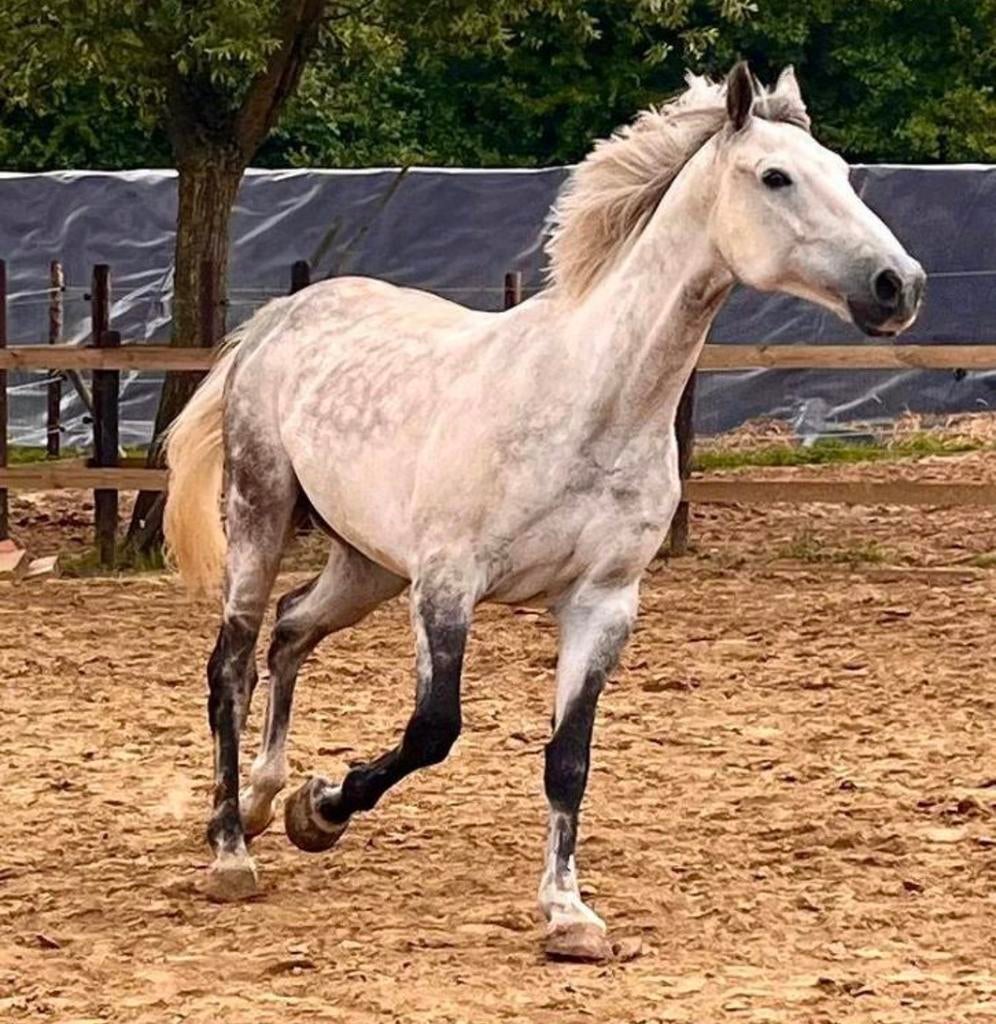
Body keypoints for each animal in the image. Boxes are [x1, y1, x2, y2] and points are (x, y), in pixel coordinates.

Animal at [163, 61, 924, 961]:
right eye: (776, 177)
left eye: (840, 170)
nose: (899, 286)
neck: (589, 401)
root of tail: (278, 320)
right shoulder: (448, 586)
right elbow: (433, 730)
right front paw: (325, 807)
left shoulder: (602, 603)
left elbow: (569, 759)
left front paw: (569, 916)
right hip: (263, 512)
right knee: (233, 664)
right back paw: (231, 850)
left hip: (368, 564)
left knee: (290, 631)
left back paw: (262, 799)